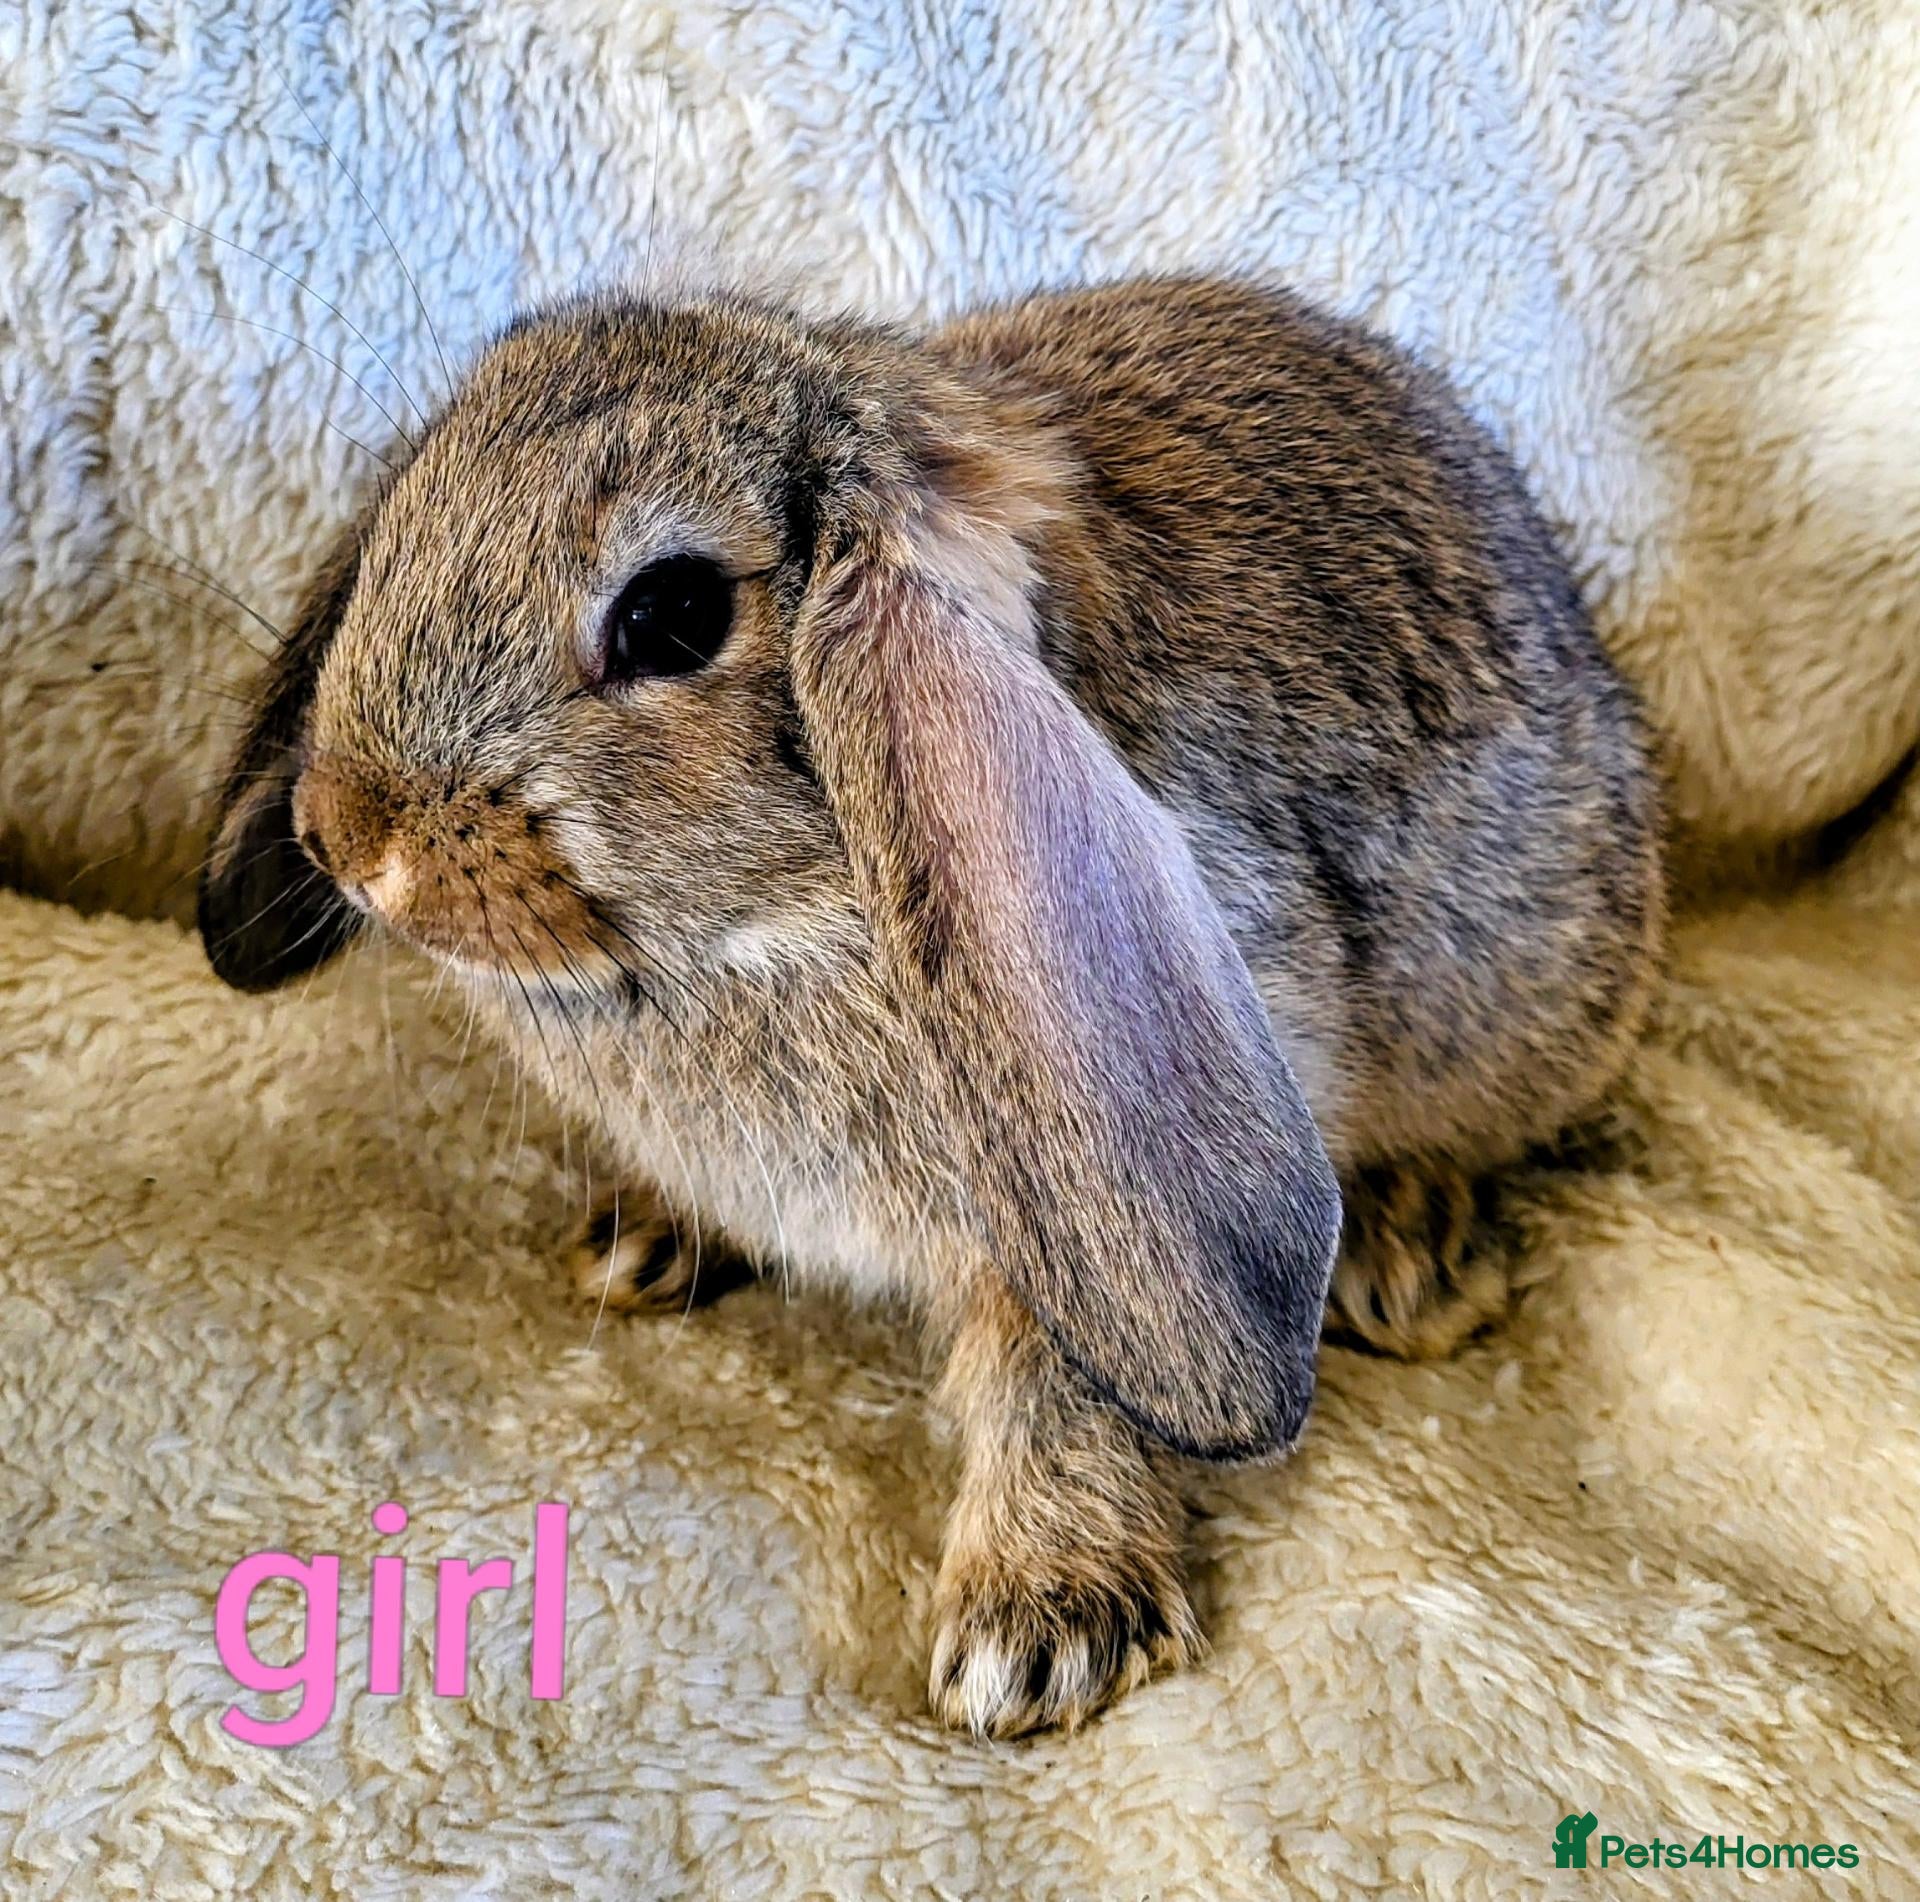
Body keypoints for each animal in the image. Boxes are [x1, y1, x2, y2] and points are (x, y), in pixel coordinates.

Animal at [198, 273, 1665, 1738]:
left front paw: (1042, 1627)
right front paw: (647, 1238)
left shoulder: (1081, 1205)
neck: (781, 919)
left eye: (670, 617)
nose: (350, 837)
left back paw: (1411, 1265)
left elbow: (1055, 1381)